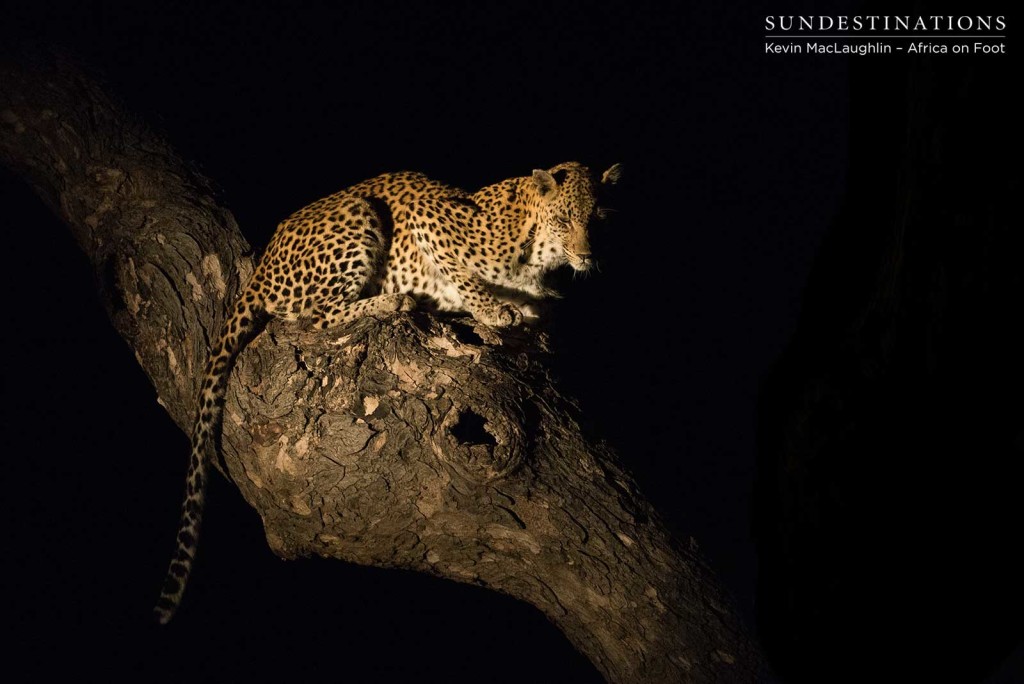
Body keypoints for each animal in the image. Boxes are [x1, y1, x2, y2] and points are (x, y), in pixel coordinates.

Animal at [153, 160, 622, 626]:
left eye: (598, 219)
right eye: (565, 220)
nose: (587, 255)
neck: (538, 251)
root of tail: (261, 267)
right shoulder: (429, 217)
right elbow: (464, 277)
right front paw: (492, 310)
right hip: (358, 213)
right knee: (316, 316)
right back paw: (394, 301)